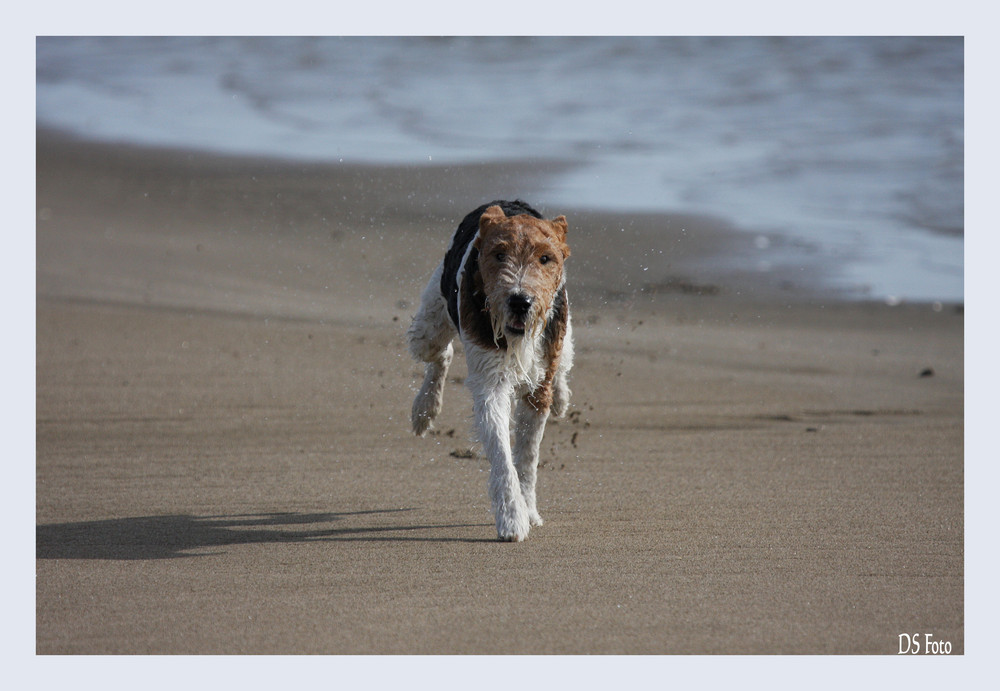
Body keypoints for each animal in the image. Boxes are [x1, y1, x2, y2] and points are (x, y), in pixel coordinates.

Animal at [406, 199, 576, 540]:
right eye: (499, 254)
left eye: (545, 258)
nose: (520, 301)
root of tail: (507, 202)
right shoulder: (491, 385)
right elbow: (502, 455)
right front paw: (513, 518)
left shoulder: (538, 390)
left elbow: (527, 458)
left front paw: (529, 510)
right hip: (428, 329)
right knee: (442, 353)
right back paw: (424, 410)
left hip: (562, 332)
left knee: (565, 361)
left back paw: (562, 399)